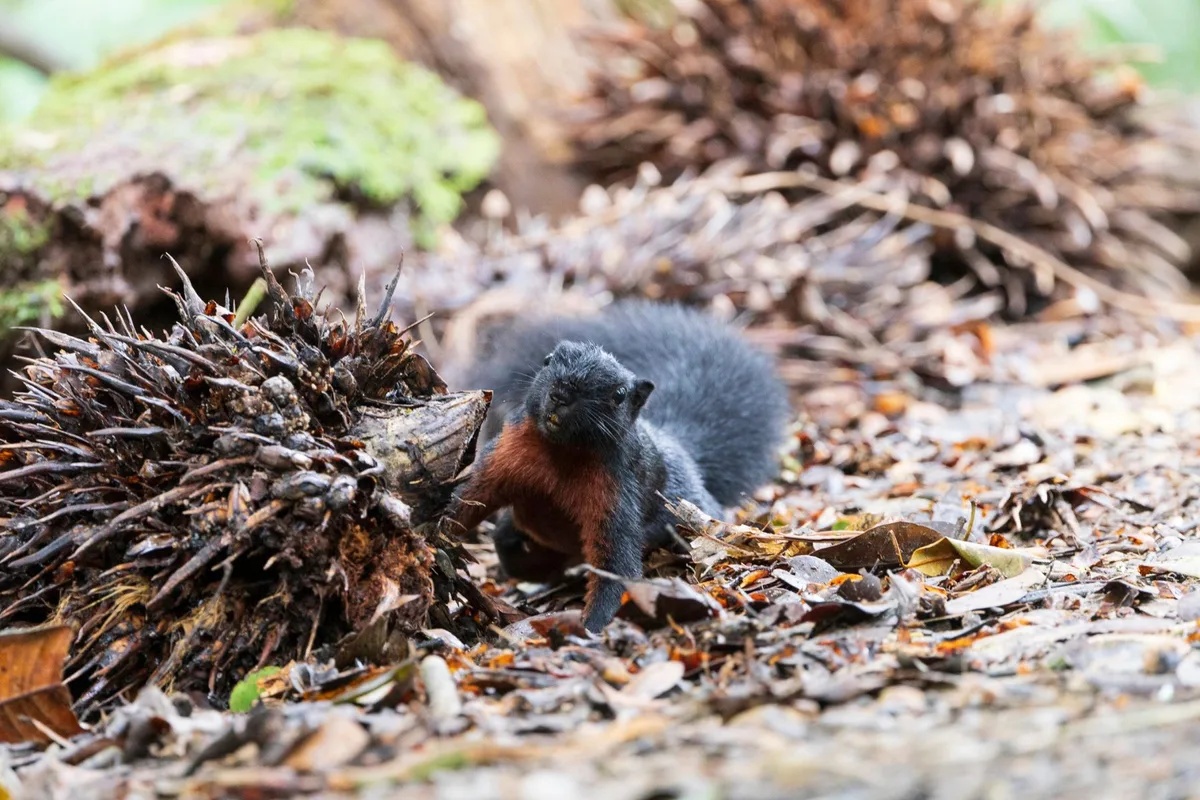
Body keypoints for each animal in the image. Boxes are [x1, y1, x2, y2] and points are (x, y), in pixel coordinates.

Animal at [446, 300, 790, 632]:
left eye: (619, 394)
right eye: (547, 360)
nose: (561, 394)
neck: (560, 452)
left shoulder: (616, 494)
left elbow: (616, 565)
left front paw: (591, 628)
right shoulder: (502, 454)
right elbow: (470, 494)